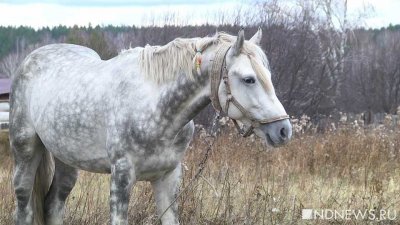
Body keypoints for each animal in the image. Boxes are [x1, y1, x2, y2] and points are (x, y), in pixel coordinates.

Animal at [9, 29, 290, 225]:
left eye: (268, 76)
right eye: (249, 79)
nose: (284, 130)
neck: (154, 104)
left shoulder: (168, 176)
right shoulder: (122, 176)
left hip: (67, 160)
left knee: (53, 204)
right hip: (25, 151)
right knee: (24, 203)